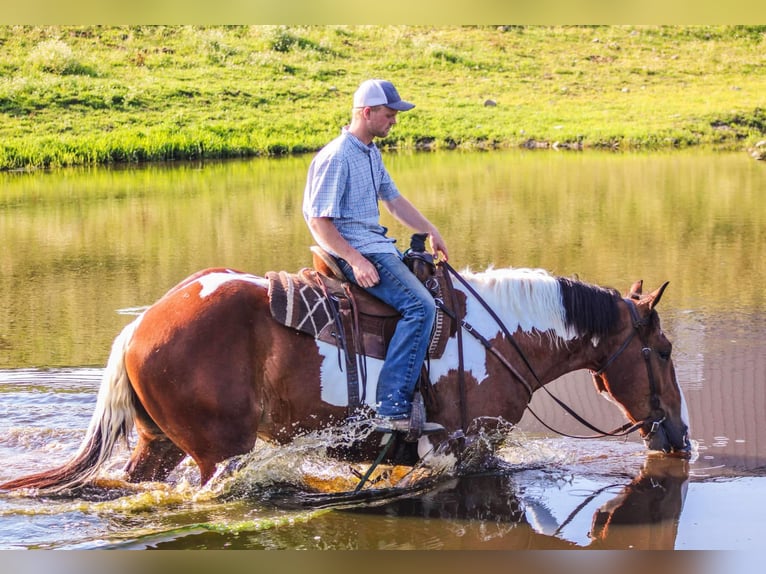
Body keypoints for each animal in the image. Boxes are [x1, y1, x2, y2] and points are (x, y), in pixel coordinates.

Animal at [0, 263, 691, 494]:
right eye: (663, 350)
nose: (680, 437)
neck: (498, 337)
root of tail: (141, 326)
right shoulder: (467, 448)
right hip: (219, 452)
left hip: (159, 444)